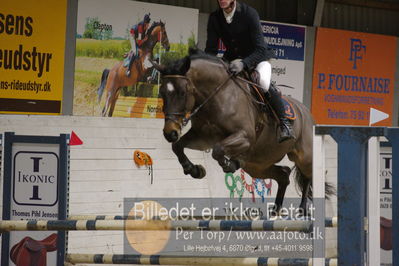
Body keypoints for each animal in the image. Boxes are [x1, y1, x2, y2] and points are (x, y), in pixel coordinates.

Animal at [152, 48, 334, 213]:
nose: (170, 132)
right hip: (258, 165)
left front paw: (229, 164)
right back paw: (275, 210)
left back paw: (303, 208)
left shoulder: (245, 137)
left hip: (304, 157)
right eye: (162, 93)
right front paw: (194, 169)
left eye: (182, 93)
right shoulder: (202, 138)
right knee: (284, 174)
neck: (216, 95)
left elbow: (218, 150)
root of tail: (307, 112)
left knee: (312, 174)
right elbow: (178, 146)